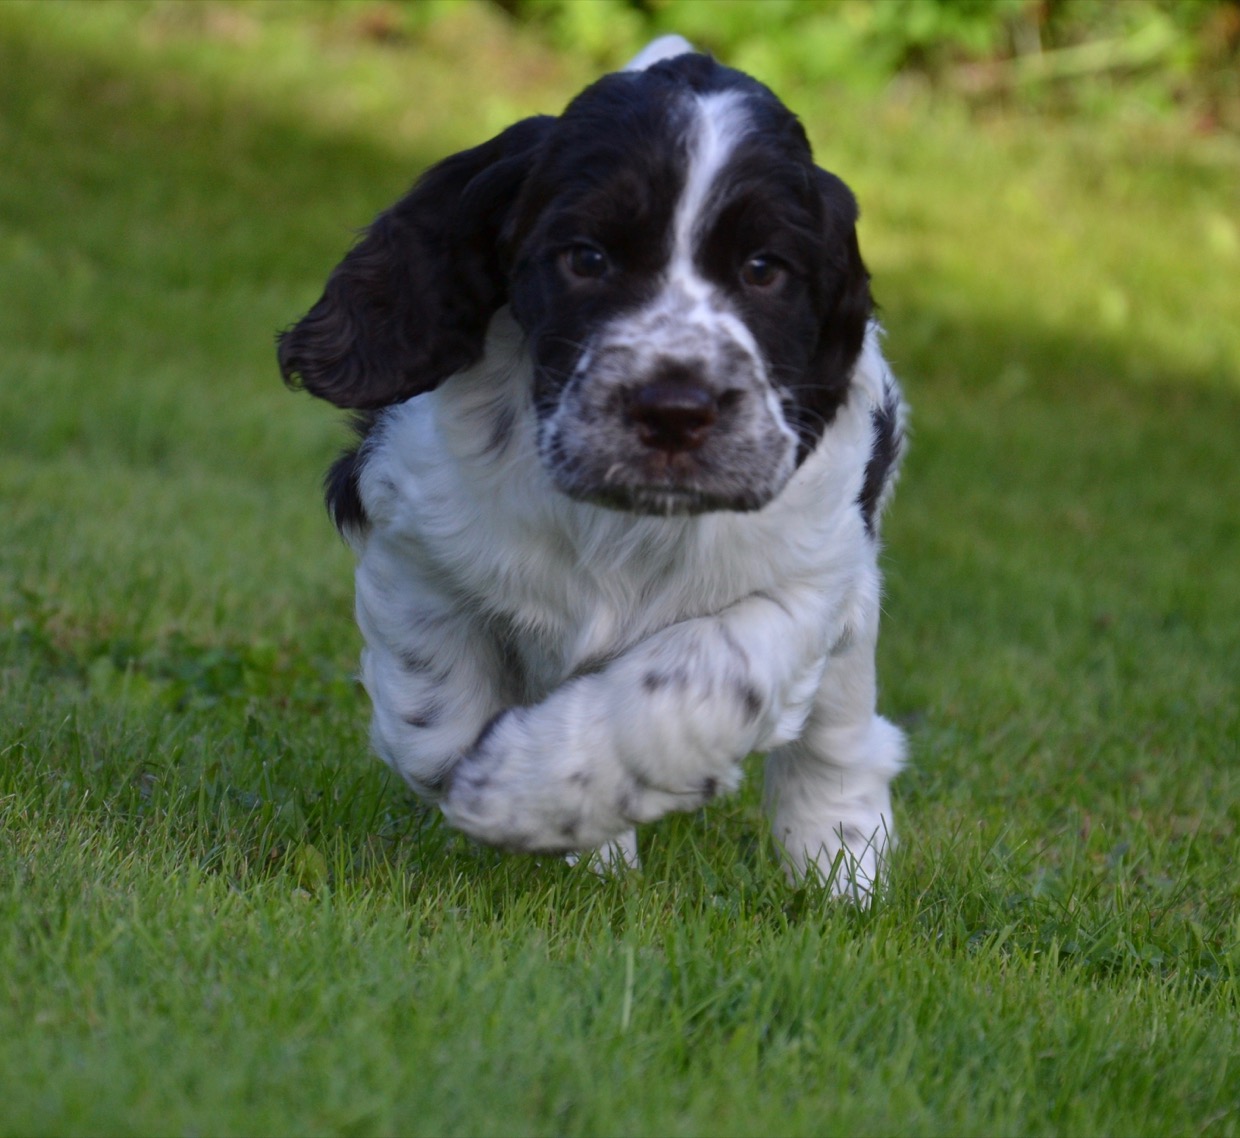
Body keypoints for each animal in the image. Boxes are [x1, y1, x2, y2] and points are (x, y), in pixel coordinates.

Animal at [279, 37, 907, 897]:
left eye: (763, 269)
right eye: (587, 257)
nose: (674, 408)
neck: (622, 518)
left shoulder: (809, 575)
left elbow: (697, 677)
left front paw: (522, 791)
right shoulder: (410, 518)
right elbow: (431, 705)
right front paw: (505, 786)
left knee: (842, 737)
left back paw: (839, 866)